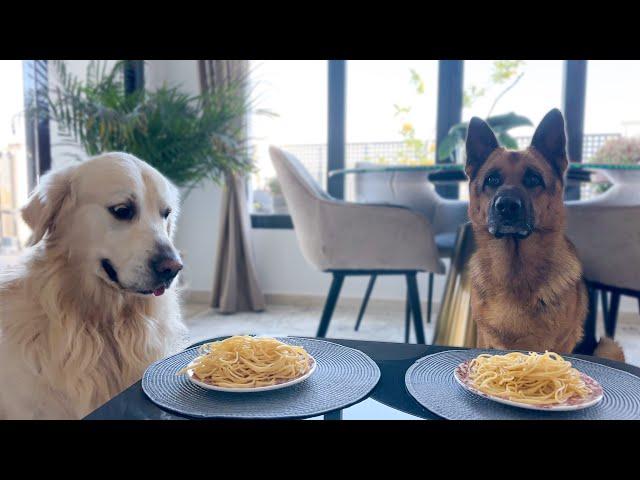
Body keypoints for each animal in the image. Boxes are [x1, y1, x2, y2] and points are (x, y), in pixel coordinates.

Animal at [468, 107, 624, 358]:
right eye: (492, 179)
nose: (507, 206)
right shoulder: (484, 339)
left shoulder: (559, 345)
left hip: (609, 346)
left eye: (533, 179)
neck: (514, 273)